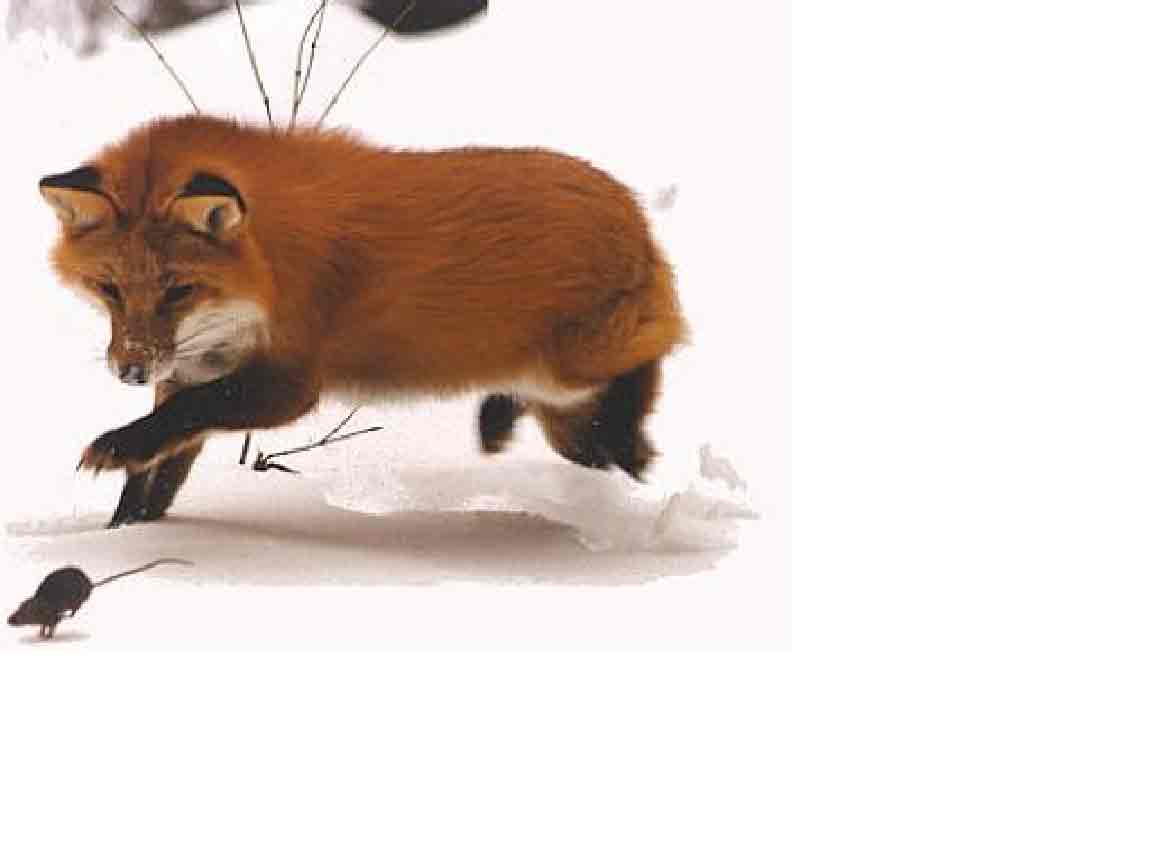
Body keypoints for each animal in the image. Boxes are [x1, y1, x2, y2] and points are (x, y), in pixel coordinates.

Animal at [39, 115, 687, 528]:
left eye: (178, 290)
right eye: (108, 289)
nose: (130, 371)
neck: (263, 274)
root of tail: (635, 214)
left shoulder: (288, 383)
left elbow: (185, 417)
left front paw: (116, 448)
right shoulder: (192, 365)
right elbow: (160, 466)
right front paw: (129, 532)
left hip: (573, 379)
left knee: (638, 404)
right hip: (562, 412)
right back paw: (503, 417)